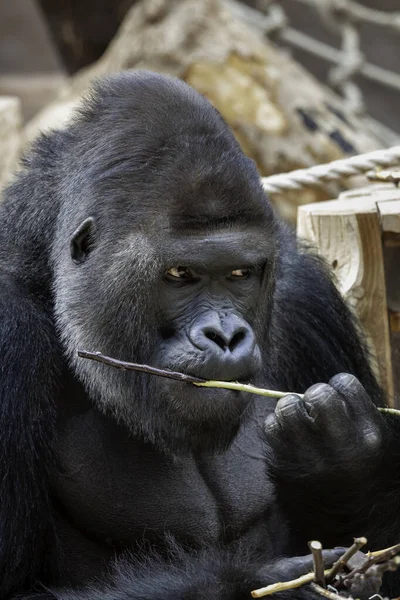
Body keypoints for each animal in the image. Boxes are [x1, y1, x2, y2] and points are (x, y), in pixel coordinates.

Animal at [0, 71, 400, 600]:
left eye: (240, 273)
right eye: (180, 274)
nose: (224, 336)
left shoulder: (308, 299)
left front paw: (346, 464)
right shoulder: (7, 331)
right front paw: (275, 581)